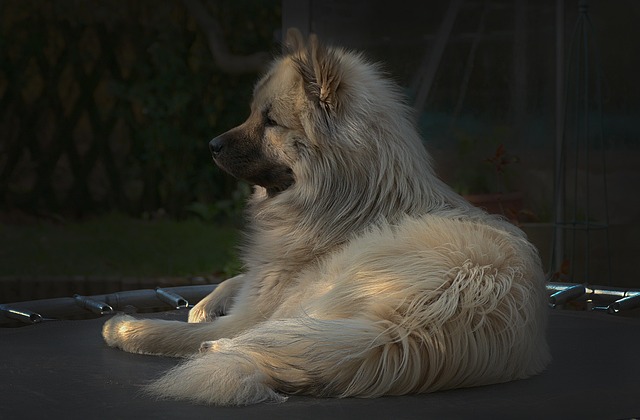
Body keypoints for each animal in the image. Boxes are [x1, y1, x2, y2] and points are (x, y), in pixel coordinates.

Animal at [101, 27, 552, 406]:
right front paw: (205, 302)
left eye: (270, 121)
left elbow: (175, 331)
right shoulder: (265, 279)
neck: (348, 198)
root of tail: (416, 323)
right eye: (253, 113)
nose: (211, 145)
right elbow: (234, 279)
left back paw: (208, 347)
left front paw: (128, 328)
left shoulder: (260, 305)